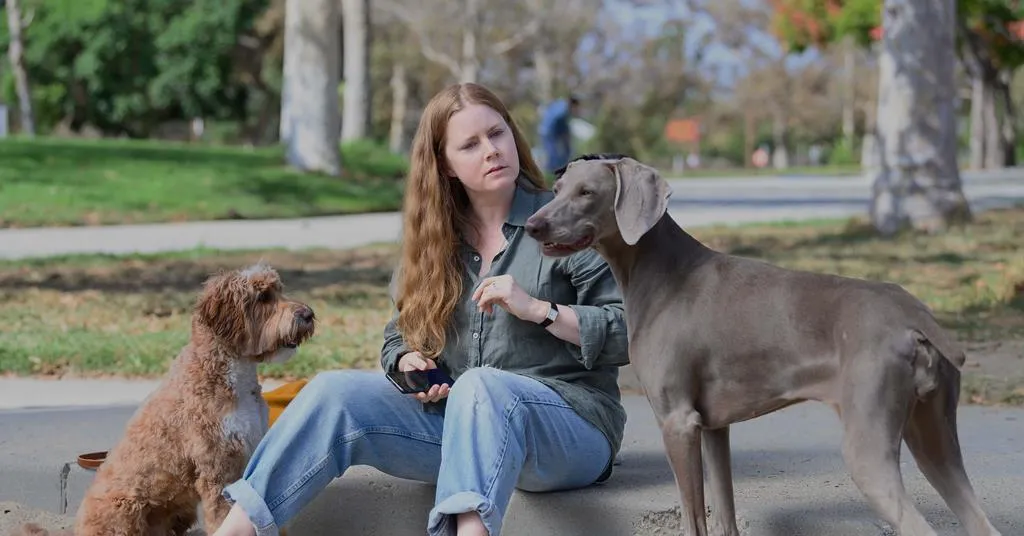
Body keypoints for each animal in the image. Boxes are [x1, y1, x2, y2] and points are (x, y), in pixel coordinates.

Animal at [524, 154, 1003, 536]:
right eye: (556, 189)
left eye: (587, 192)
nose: (532, 224)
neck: (659, 271)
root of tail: (916, 316)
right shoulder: (712, 426)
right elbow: (724, 513)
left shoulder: (677, 422)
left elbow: (693, 519)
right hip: (934, 437)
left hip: (868, 444)